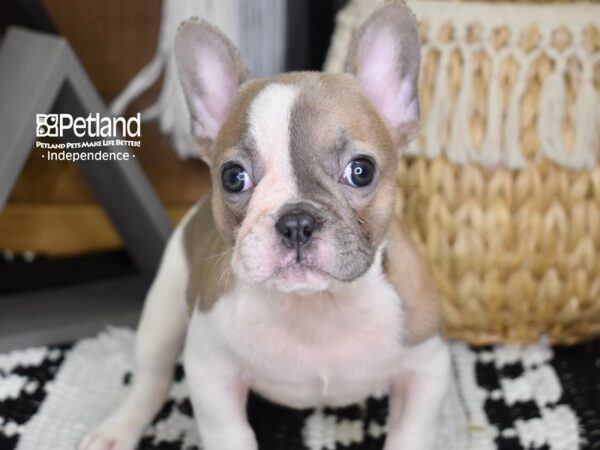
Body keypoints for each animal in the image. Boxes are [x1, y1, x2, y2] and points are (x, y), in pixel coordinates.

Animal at [76, 3, 450, 450]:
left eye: (361, 171)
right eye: (233, 177)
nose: (296, 221)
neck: (318, 307)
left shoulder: (425, 369)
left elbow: (411, 433)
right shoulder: (210, 371)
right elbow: (230, 433)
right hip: (162, 310)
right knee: (152, 377)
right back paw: (117, 430)